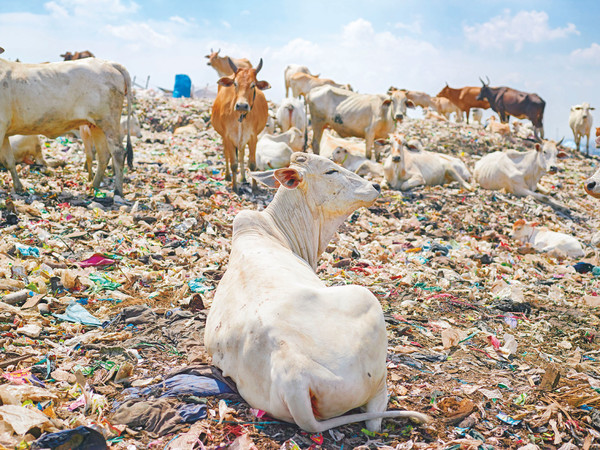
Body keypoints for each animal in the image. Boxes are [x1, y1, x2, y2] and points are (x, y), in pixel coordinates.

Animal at [204, 154, 428, 432]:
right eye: (330, 171)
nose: (375, 186)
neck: (274, 229)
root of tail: (294, 371)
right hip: (367, 309)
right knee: (374, 417)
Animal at [210, 57, 268, 192]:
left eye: (253, 85)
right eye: (235, 84)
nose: (242, 105)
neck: (240, 116)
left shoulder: (252, 137)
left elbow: (252, 164)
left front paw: (255, 187)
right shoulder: (228, 137)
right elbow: (233, 164)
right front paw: (235, 187)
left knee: (241, 154)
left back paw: (242, 178)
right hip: (224, 137)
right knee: (226, 154)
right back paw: (227, 176)